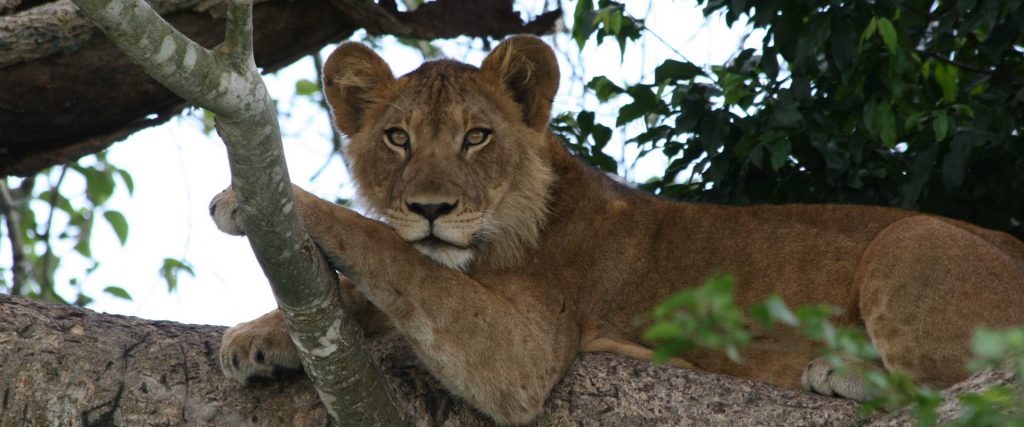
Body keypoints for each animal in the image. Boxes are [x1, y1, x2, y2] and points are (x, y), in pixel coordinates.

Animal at [210, 35, 1024, 424]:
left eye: (477, 136)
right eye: (397, 139)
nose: (431, 209)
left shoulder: (524, 352)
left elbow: (389, 257)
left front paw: (257, 199)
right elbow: (382, 286)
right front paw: (260, 336)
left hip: (910, 240)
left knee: (957, 387)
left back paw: (835, 370)